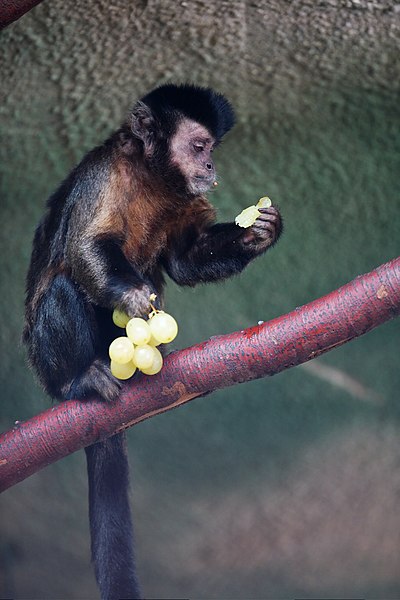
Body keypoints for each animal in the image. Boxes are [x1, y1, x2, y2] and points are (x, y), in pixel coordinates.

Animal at [23, 84, 282, 600]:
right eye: (199, 147)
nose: (211, 166)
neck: (151, 176)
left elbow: (184, 258)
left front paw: (260, 233)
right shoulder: (104, 175)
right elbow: (86, 247)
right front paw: (135, 298)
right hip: (43, 359)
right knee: (63, 284)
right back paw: (78, 381)